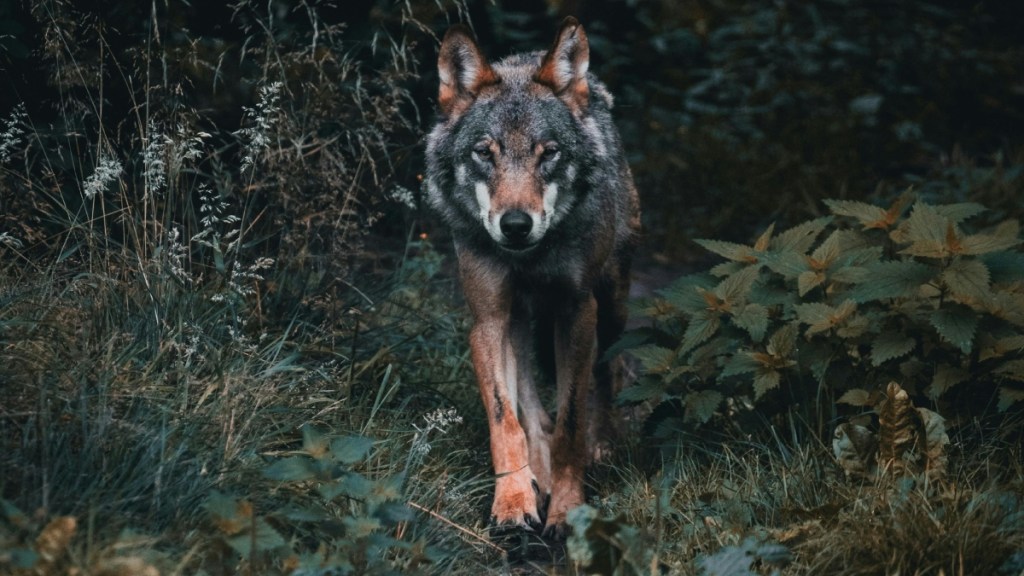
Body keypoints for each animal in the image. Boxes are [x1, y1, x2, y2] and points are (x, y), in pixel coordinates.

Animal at [424, 17, 640, 537]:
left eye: (549, 154)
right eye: (485, 153)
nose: (516, 225)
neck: (530, 259)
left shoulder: (577, 312)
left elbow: (570, 422)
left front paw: (567, 507)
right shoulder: (487, 321)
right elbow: (508, 422)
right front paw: (513, 501)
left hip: (613, 306)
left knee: (607, 373)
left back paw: (602, 446)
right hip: (518, 323)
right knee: (530, 408)